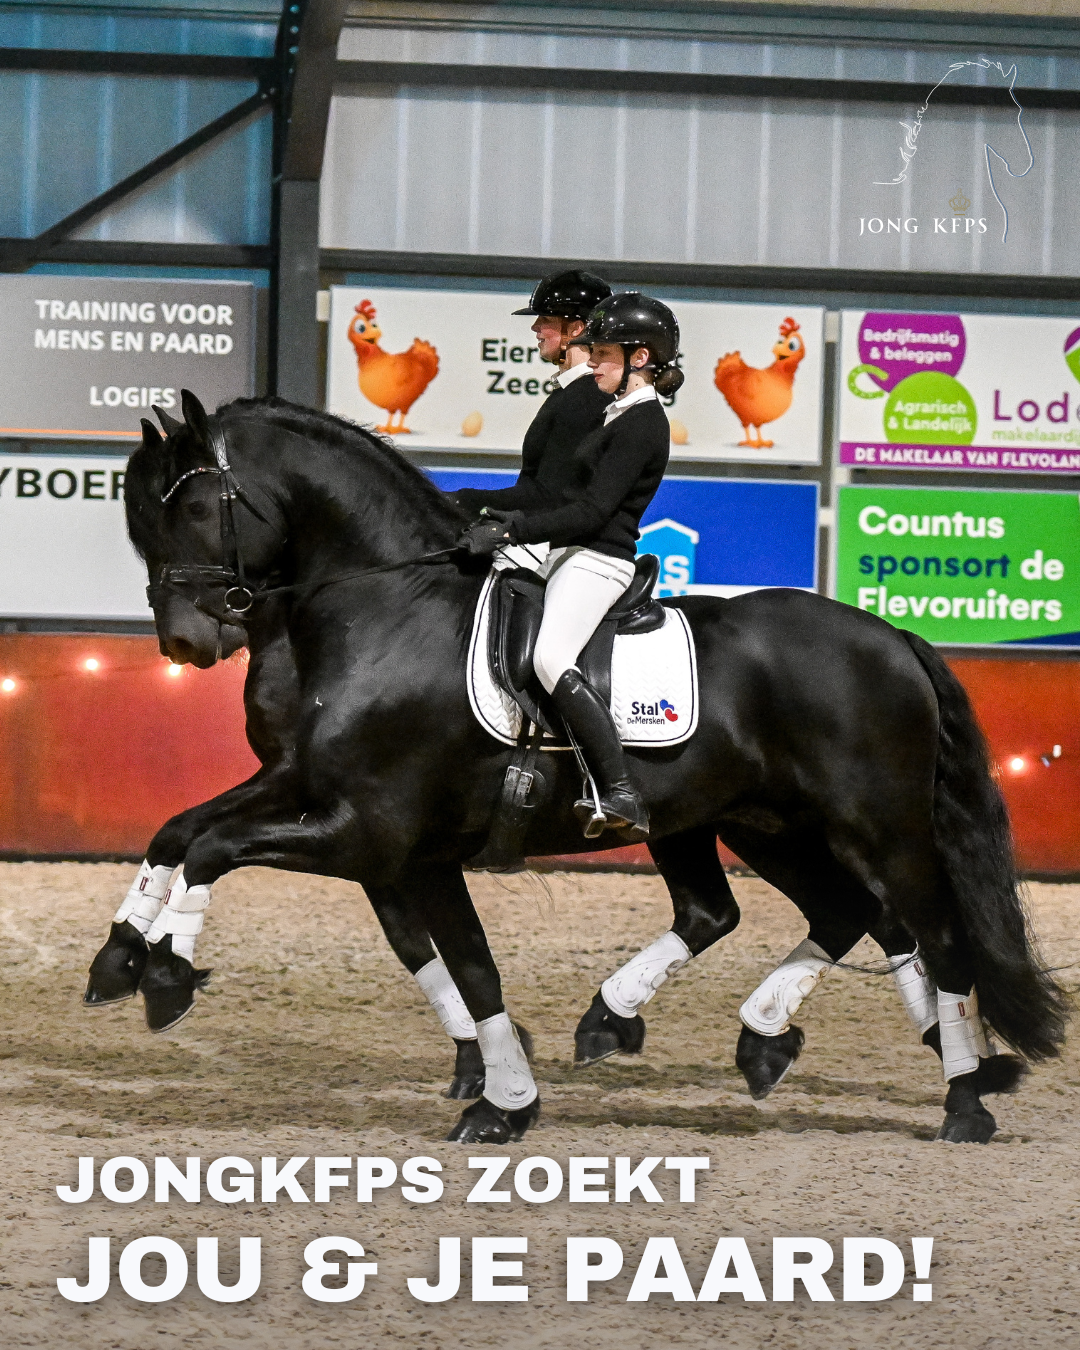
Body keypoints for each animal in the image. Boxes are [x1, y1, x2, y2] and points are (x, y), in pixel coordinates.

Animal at [85, 390, 1066, 1145]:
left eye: (196, 509)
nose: (185, 643)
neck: (385, 608)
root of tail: (892, 636)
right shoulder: (349, 817)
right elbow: (187, 835)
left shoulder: (367, 831)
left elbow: (214, 852)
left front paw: (165, 976)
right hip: (762, 824)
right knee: (816, 911)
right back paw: (738, 1035)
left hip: (878, 825)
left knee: (931, 932)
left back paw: (964, 1096)